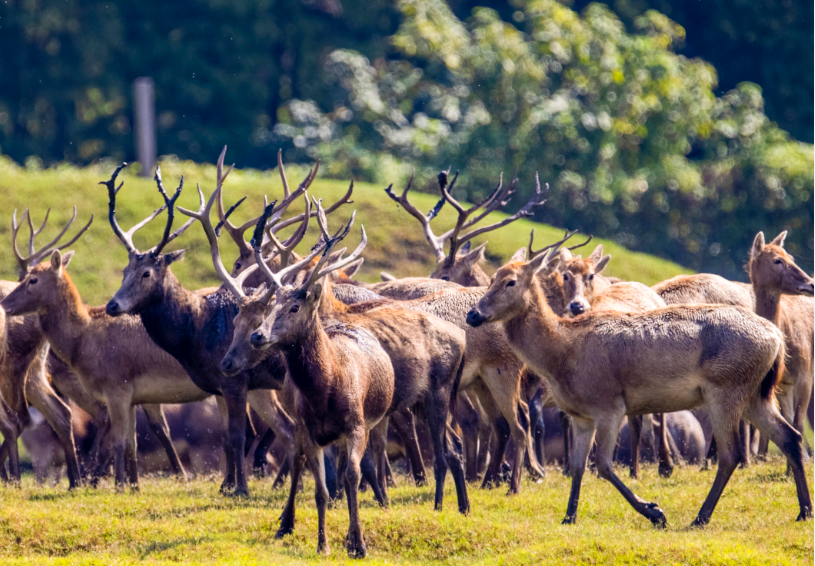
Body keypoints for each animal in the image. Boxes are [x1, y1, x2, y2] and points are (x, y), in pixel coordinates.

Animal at [101, 160, 294, 496]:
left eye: (147, 273)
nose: (113, 306)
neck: (194, 336)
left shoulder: (235, 381)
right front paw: (226, 486)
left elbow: (239, 436)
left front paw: (240, 489)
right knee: (290, 429)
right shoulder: (219, 385)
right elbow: (227, 439)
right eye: (126, 270)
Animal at [468, 242, 812, 532]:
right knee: (790, 437)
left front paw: (655, 512)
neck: (561, 356)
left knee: (732, 454)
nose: (473, 314)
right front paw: (568, 516)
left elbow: (603, 465)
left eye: (511, 282)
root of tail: (777, 339)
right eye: (492, 278)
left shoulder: (609, 404)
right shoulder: (580, 415)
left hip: (725, 389)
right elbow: (578, 467)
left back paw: (700, 517)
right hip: (756, 393)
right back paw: (803, 510)